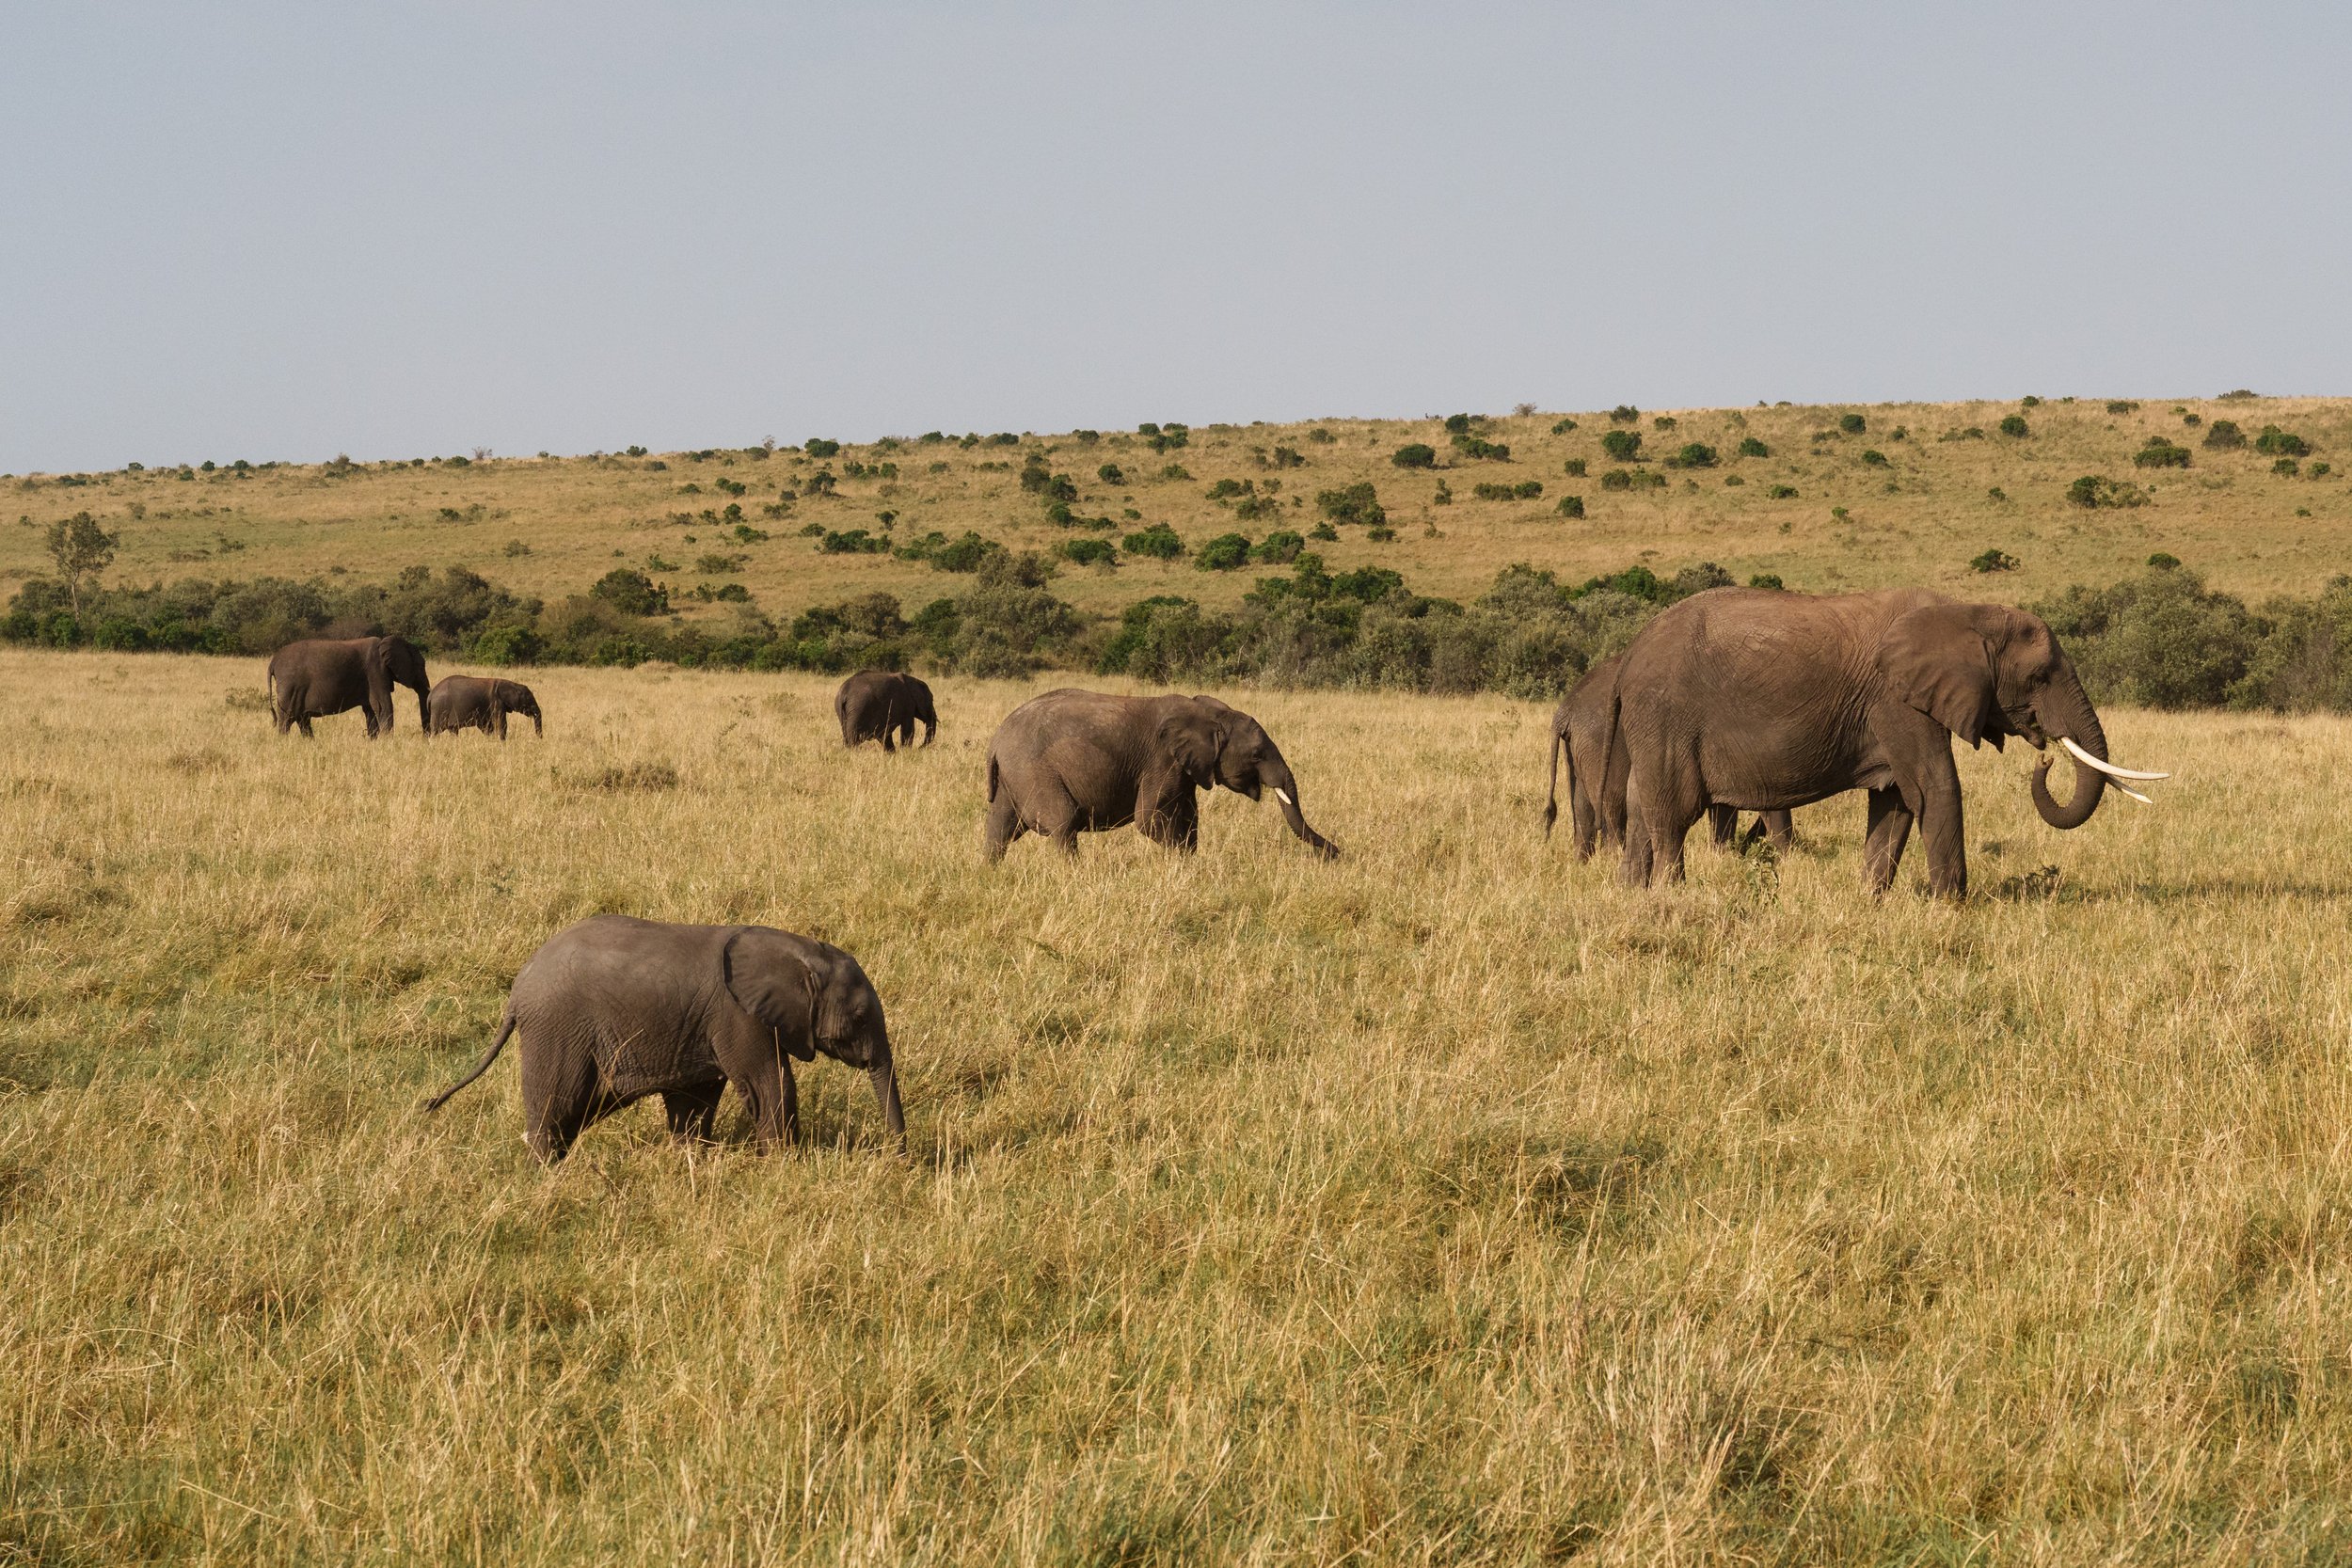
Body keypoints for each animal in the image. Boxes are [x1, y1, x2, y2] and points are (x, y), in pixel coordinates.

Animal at [266, 635, 430, 738]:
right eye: (421, 666)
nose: (426, 738)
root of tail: (273, 661)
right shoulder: (376, 671)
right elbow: (383, 706)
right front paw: (387, 742)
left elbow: (370, 710)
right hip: (289, 687)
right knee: (287, 719)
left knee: (302, 720)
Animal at [423, 915, 906, 1163]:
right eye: (859, 1017)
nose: (900, 1161)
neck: (797, 949)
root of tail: (517, 991)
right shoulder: (739, 1016)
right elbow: (770, 1086)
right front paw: (785, 1165)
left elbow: (696, 1097)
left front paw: (691, 1161)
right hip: (557, 1029)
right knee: (557, 1105)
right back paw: (546, 1173)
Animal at [984, 689, 1338, 861]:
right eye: (1256, 755)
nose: (1337, 854)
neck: (1209, 714)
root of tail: (996, 739)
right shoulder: (1162, 760)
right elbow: (1149, 818)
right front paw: (1183, 865)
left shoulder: (1187, 768)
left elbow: (1190, 816)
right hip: (1035, 771)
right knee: (1063, 823)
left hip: (1014, 776)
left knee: (998, 829)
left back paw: (992, 873)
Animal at [1543, 651, 1791, 859]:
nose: (1749, 842)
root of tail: (1566, 708)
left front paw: (1723, 857)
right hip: (1601, 745)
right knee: (1611, 809)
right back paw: (1612, 859)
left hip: (1578, 749)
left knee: (1582, 810)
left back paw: (1582, 863)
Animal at [1610, 586, 2166, 895]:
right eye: (2041, 677)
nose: (2045, 759)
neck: (1965, 612)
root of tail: (1630, 650)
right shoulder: (1896, 700)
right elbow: (1936, 789)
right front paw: (1952, 909)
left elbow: (1896, 800)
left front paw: (1871, 902)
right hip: (1667, 718)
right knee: (1672, 815)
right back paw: (1671, 898)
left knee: (1641, 809)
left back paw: (1631, 897)